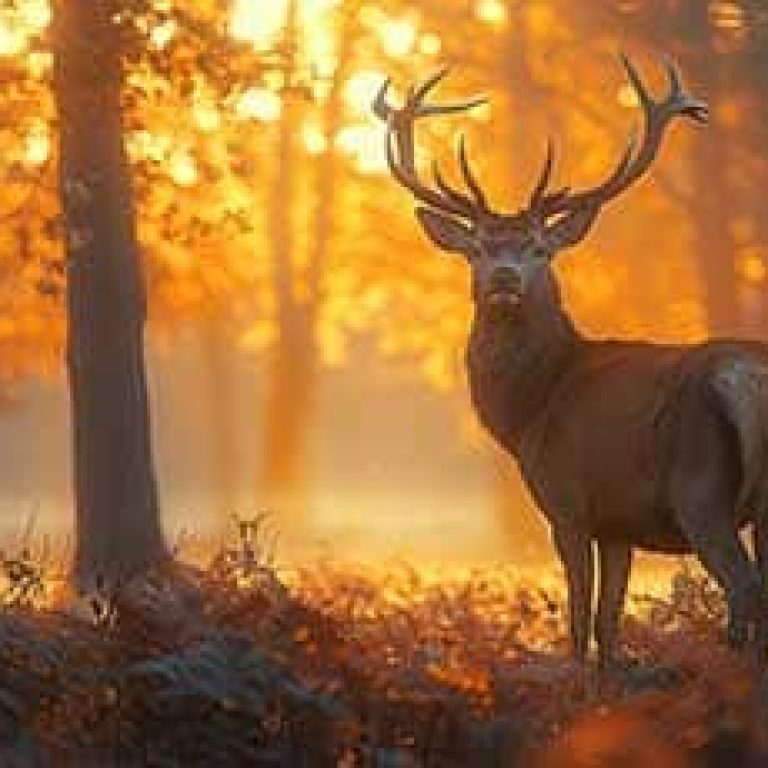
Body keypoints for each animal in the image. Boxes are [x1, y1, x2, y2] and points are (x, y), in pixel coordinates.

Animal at [373, 57, 768, 671]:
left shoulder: (567, 501)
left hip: (700, 488)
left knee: (745, 587)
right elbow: (610, 625)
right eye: (478, 249)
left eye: (540, 248)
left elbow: (579, 620)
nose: (505, 278)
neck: (531, 410)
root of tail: (746, 377)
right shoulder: (619, 522)